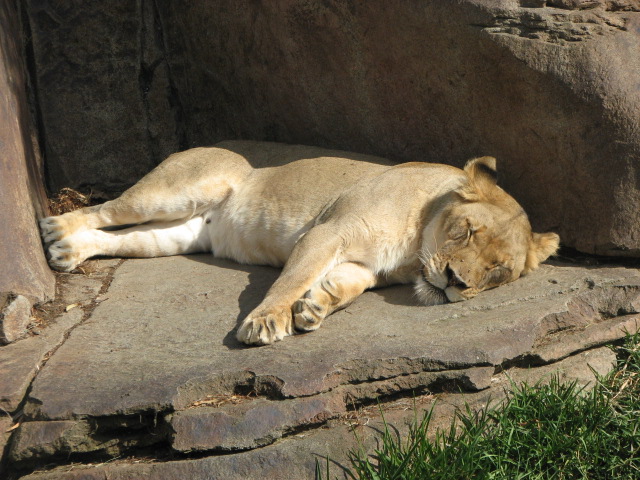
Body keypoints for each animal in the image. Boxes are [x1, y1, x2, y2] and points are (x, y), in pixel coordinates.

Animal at [40, 141, 559, 346]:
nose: (454, 281)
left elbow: (344, 286)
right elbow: (289, 279)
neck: (414, 254)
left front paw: (315, 306)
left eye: (498, 271)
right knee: (106, 209)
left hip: (179, 234)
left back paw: (69, 252)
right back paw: (55, 230)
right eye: (466, 230)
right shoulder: (327, 232)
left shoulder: (365, 266)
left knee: (124, 237)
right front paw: (266, 321)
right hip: (178, 189)